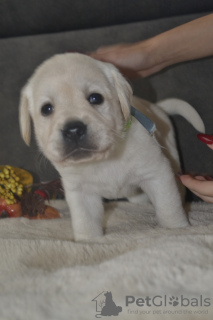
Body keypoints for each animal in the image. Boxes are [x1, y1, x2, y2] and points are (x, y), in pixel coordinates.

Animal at [19, 53, 204, 241]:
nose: (73, 130)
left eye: (95, 98)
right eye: (47, 109)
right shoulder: (80, 191)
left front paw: (177, 229)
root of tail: (157, 107)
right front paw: (88, 241)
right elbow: (85, 221)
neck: (104, 158)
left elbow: (168, 206)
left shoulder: (157, 172)